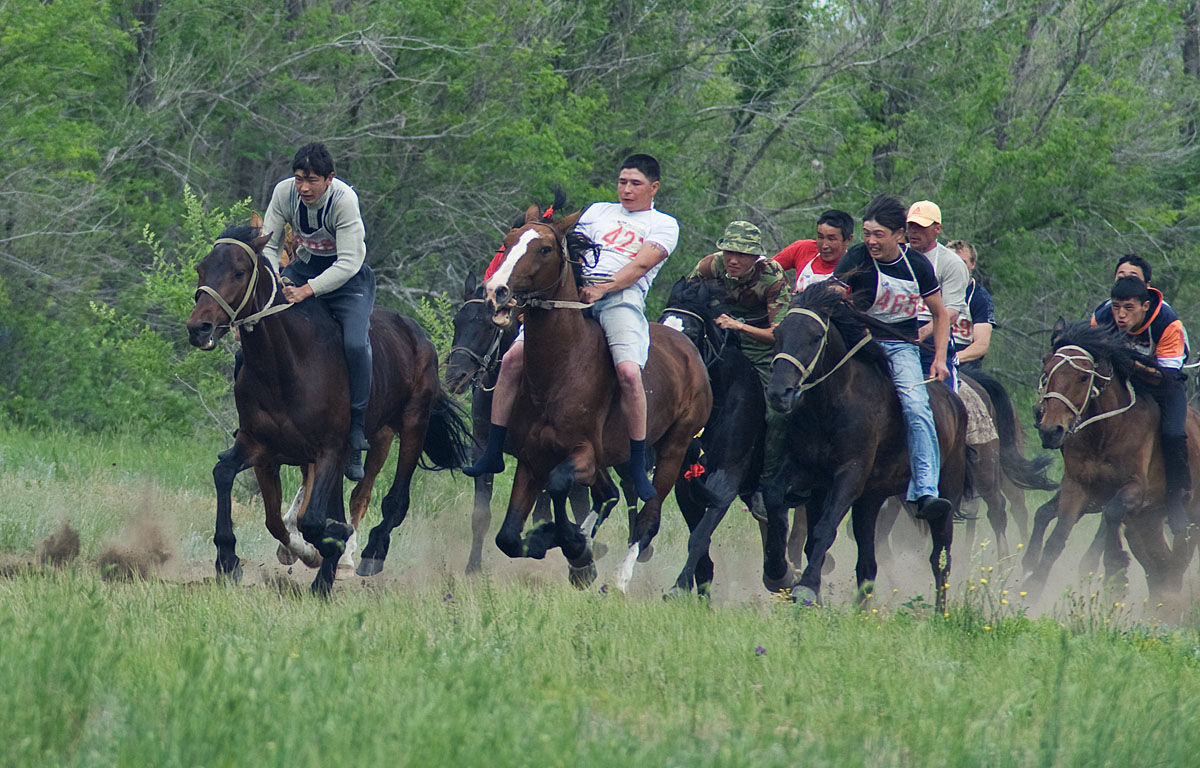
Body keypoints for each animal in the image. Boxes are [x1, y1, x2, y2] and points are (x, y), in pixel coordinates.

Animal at [184, 222, 470, 595]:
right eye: (201, 268)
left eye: (239, 271)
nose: (198, 328)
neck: (286, 364)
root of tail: (418, 335)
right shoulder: (260, 447)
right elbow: (244, 492)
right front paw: (229, 560)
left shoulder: (329, 449)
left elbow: (314, 520)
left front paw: (326, 564)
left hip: (408, 426)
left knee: (391, 499)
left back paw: (369, 553)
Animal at [763, 282, 969, 612]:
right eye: (778, 333)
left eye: (815, 336)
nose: (779, 393)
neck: (832, 404)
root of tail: (955, 403)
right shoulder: (805, 468)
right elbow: (773, 497)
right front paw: (777, 572)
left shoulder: (851, 473)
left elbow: (824, 529)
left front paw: (806, 588)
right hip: (870, 500)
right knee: (868, 564)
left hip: (946, 492)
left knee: (940, 558)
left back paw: (941, 613)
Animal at [1022, 316, 1200, 600]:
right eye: (1046, 366)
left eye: (1083, 377)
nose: (1050, 429)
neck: (1105, 433)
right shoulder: (1077, 486)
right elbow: (1057, 536)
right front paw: (1032, 587)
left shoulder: (1134, 488)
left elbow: (1112, 514)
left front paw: (1115, 570)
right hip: (1146, 521)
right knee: (1159, 566)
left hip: (1188, 519)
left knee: (1177, 560)